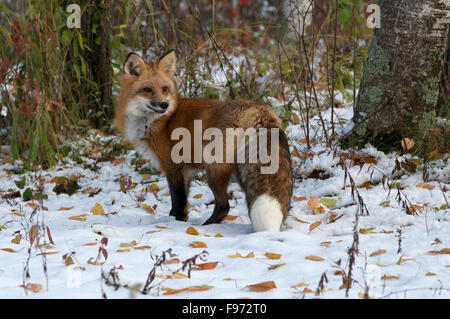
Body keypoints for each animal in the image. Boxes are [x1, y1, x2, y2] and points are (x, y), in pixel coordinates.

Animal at [114, 52, 294, 232]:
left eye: (164, 89)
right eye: (147, 89)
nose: (164, 104)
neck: (161, 120)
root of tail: (254, 108)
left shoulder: (172, 166)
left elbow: (178, 201)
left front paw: (177, 222)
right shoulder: (185, 170)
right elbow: (182, 202)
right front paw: (175, 219)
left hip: (214, 167)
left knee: (224, 205)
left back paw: (206, 226)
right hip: (240, 168)